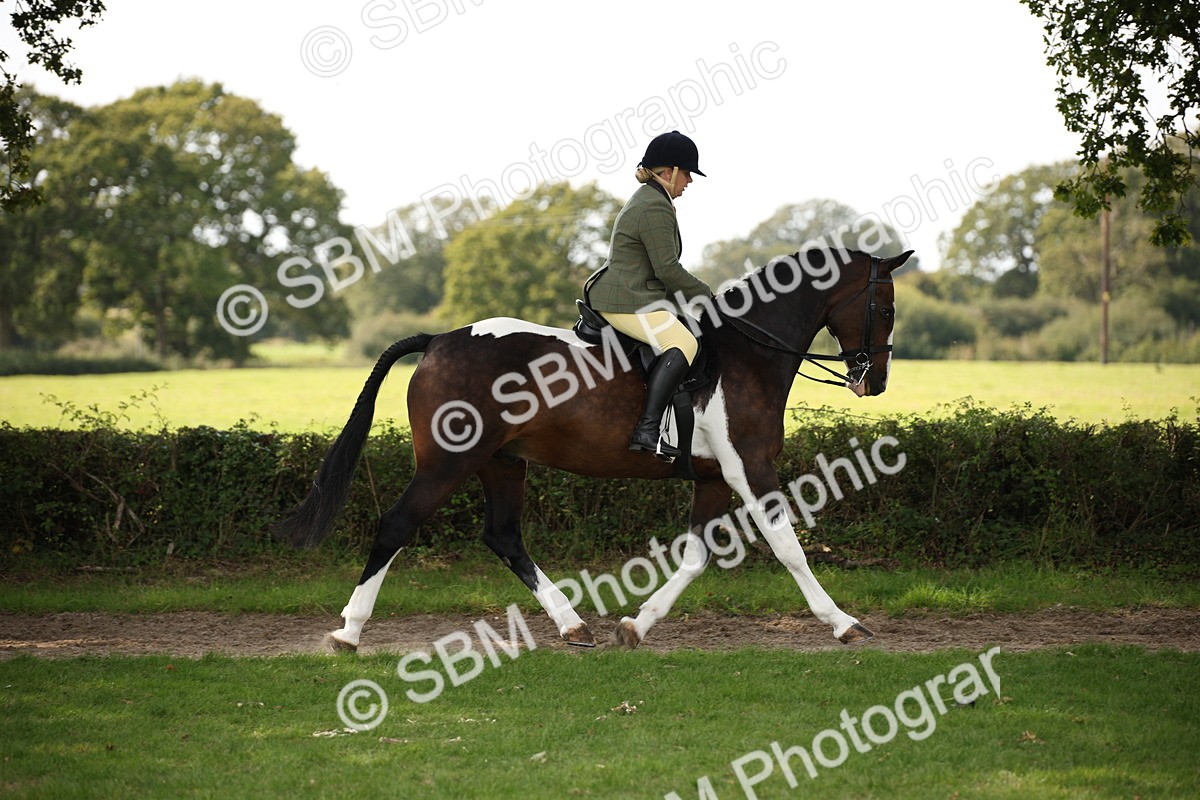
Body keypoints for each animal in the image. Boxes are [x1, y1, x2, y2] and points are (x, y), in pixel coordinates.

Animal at [276, 247, 911, 651]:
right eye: (885, 306)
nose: (875, 380)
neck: (748, 351)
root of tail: (438, 341)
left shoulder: (712, 476)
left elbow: (696, 556)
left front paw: (636, 626)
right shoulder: (749, 466)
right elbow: (788, 547)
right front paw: (843, 623)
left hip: (501, 464)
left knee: (504, 537)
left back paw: (572, 626)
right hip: (448, 463)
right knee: (397, 524)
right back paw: (349, 631)